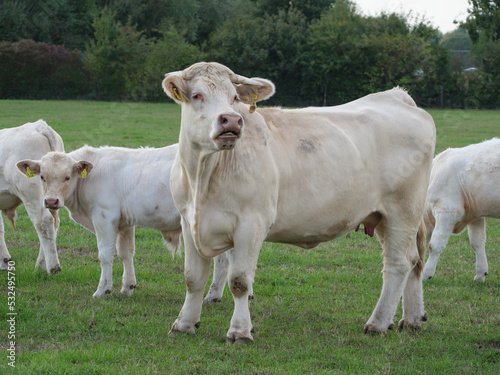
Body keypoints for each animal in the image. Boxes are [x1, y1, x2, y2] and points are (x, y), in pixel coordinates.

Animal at [0, 120, 64, 274]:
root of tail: (39, 126)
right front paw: (4, 261)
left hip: (31, 193)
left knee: (43, 221)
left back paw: (52, 267)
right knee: (54, 223)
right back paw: (42, 265)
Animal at [162, 61, 436, 344]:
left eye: (234, 97)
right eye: (197, 95)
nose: (232, 120)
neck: (203, 177)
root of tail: (396, 96)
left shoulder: (252, 223)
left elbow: (239, 281)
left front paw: (239, 331)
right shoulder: (188, 222)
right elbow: (193, 279)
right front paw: (184, 324)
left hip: (402, 212)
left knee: (398, 263)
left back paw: (378, 323)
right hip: (383, 216)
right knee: (414, 260)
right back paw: (411, 319)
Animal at [424, 140, 500, 284]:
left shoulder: (447, 211)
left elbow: (435, 244)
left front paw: (426, 274)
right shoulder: (475, 215)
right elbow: (477, 242)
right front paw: (480, 274)